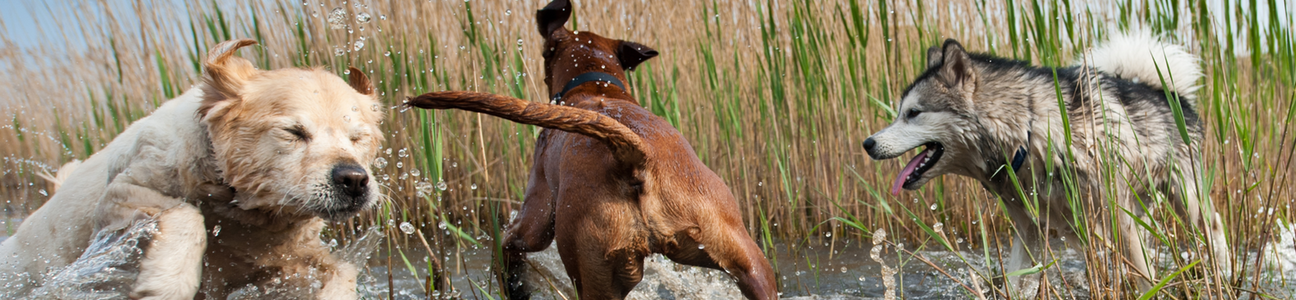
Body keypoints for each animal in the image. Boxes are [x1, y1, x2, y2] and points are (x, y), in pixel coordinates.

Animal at [0, 38, 383, 298]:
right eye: (294, 132)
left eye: (357, 138)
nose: (353, 180)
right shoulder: (117, 198)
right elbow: (186, 216)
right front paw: (164, 284)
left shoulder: (285, 257)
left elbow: (344, 270)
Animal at [404, 1, 772, 298]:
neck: (597, 87)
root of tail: (636, 158)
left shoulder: (536, 212)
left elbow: (510, 241)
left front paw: (513, 281)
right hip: (748, 263)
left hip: (593, 270)